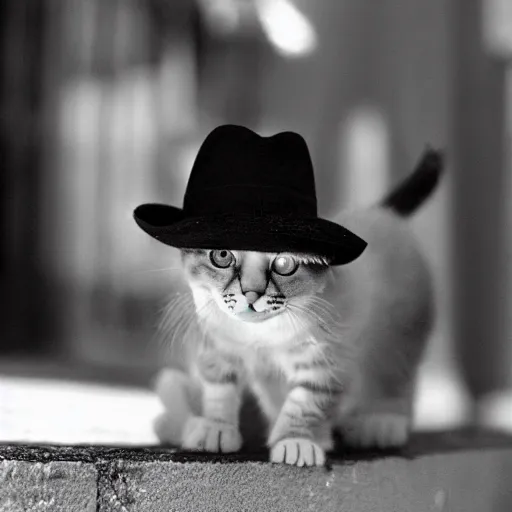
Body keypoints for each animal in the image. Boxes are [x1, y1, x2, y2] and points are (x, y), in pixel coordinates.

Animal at [154, 150, 442, 466]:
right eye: (222, 255)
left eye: (284, 263)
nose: (250, 294)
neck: (261, 335)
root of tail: (381, 212)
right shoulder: (218, 346)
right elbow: (219, 388)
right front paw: (215, 428)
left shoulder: (326, 360)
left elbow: (305, 402)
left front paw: (296, 441)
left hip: (398, 341)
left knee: (395, 381)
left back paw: (380, 423)